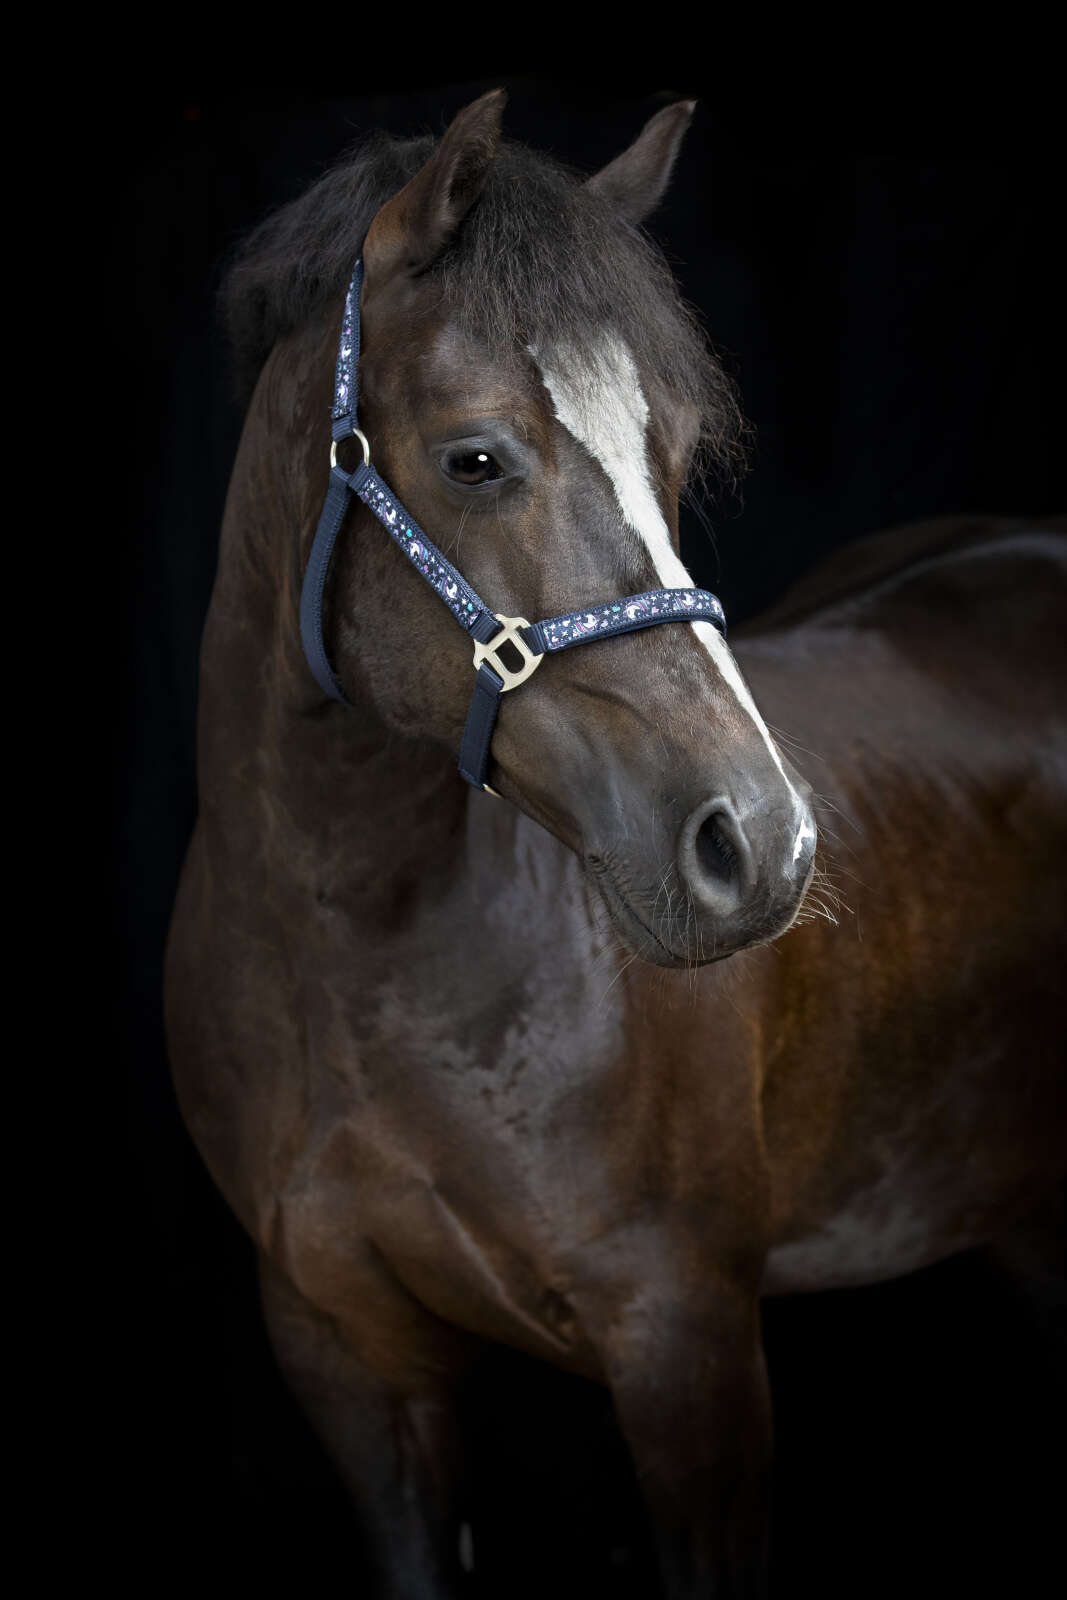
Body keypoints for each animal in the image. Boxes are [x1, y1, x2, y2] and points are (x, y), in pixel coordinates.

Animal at [164, 89, 1066, 1597]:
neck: (356, 958)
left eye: (674, 449)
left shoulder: (687, 1350)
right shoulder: (345, 1356)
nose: (761, 844)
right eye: (475, 457)